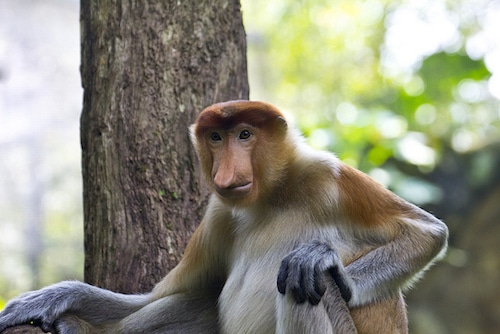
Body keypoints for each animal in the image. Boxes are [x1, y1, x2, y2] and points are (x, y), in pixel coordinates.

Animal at [0, 100, 448, 334]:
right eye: (216, 137)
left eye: (245, 135)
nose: (226, 173)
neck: (271, 196)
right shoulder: (217, 216)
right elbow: (159, 295)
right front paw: (50, 299)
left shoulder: (327, 174)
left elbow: (428, 232)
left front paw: (321, 258)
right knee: (198, 298)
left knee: (304, 284)